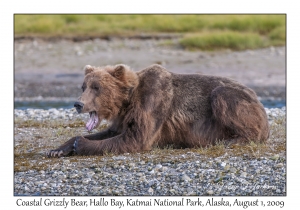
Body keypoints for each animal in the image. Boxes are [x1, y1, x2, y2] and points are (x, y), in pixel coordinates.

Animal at [47, 64, 270, 158]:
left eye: (96, 87)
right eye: (83, 86)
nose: (78, 104)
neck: (127, 101)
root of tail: (259, 101)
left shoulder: (152, 102)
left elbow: (136, 138)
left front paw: (80, 144)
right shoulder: (124, 118)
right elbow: (113, 133)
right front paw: (57, 149)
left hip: (238, 101)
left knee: (223, 97)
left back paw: (232, 140)